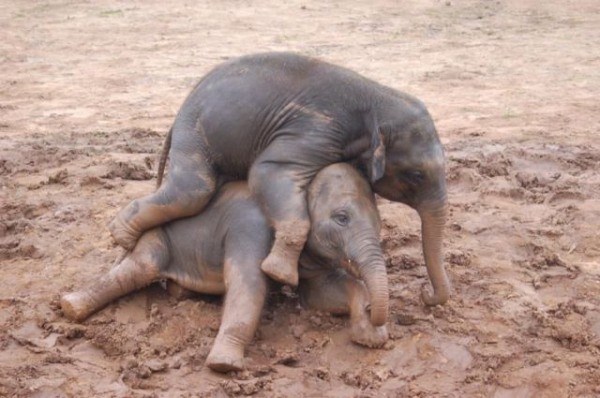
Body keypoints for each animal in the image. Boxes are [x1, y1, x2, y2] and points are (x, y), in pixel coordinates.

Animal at [62, 163, 390, 372]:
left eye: (379, 223)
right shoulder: (250, 226)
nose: (376, 317)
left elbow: (321, 294)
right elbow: (249, 284)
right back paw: (70, 306)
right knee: (140, 269)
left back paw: (180, 292)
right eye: (342, 218)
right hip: (156, 236)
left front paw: (371, 338)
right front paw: (224, 365)